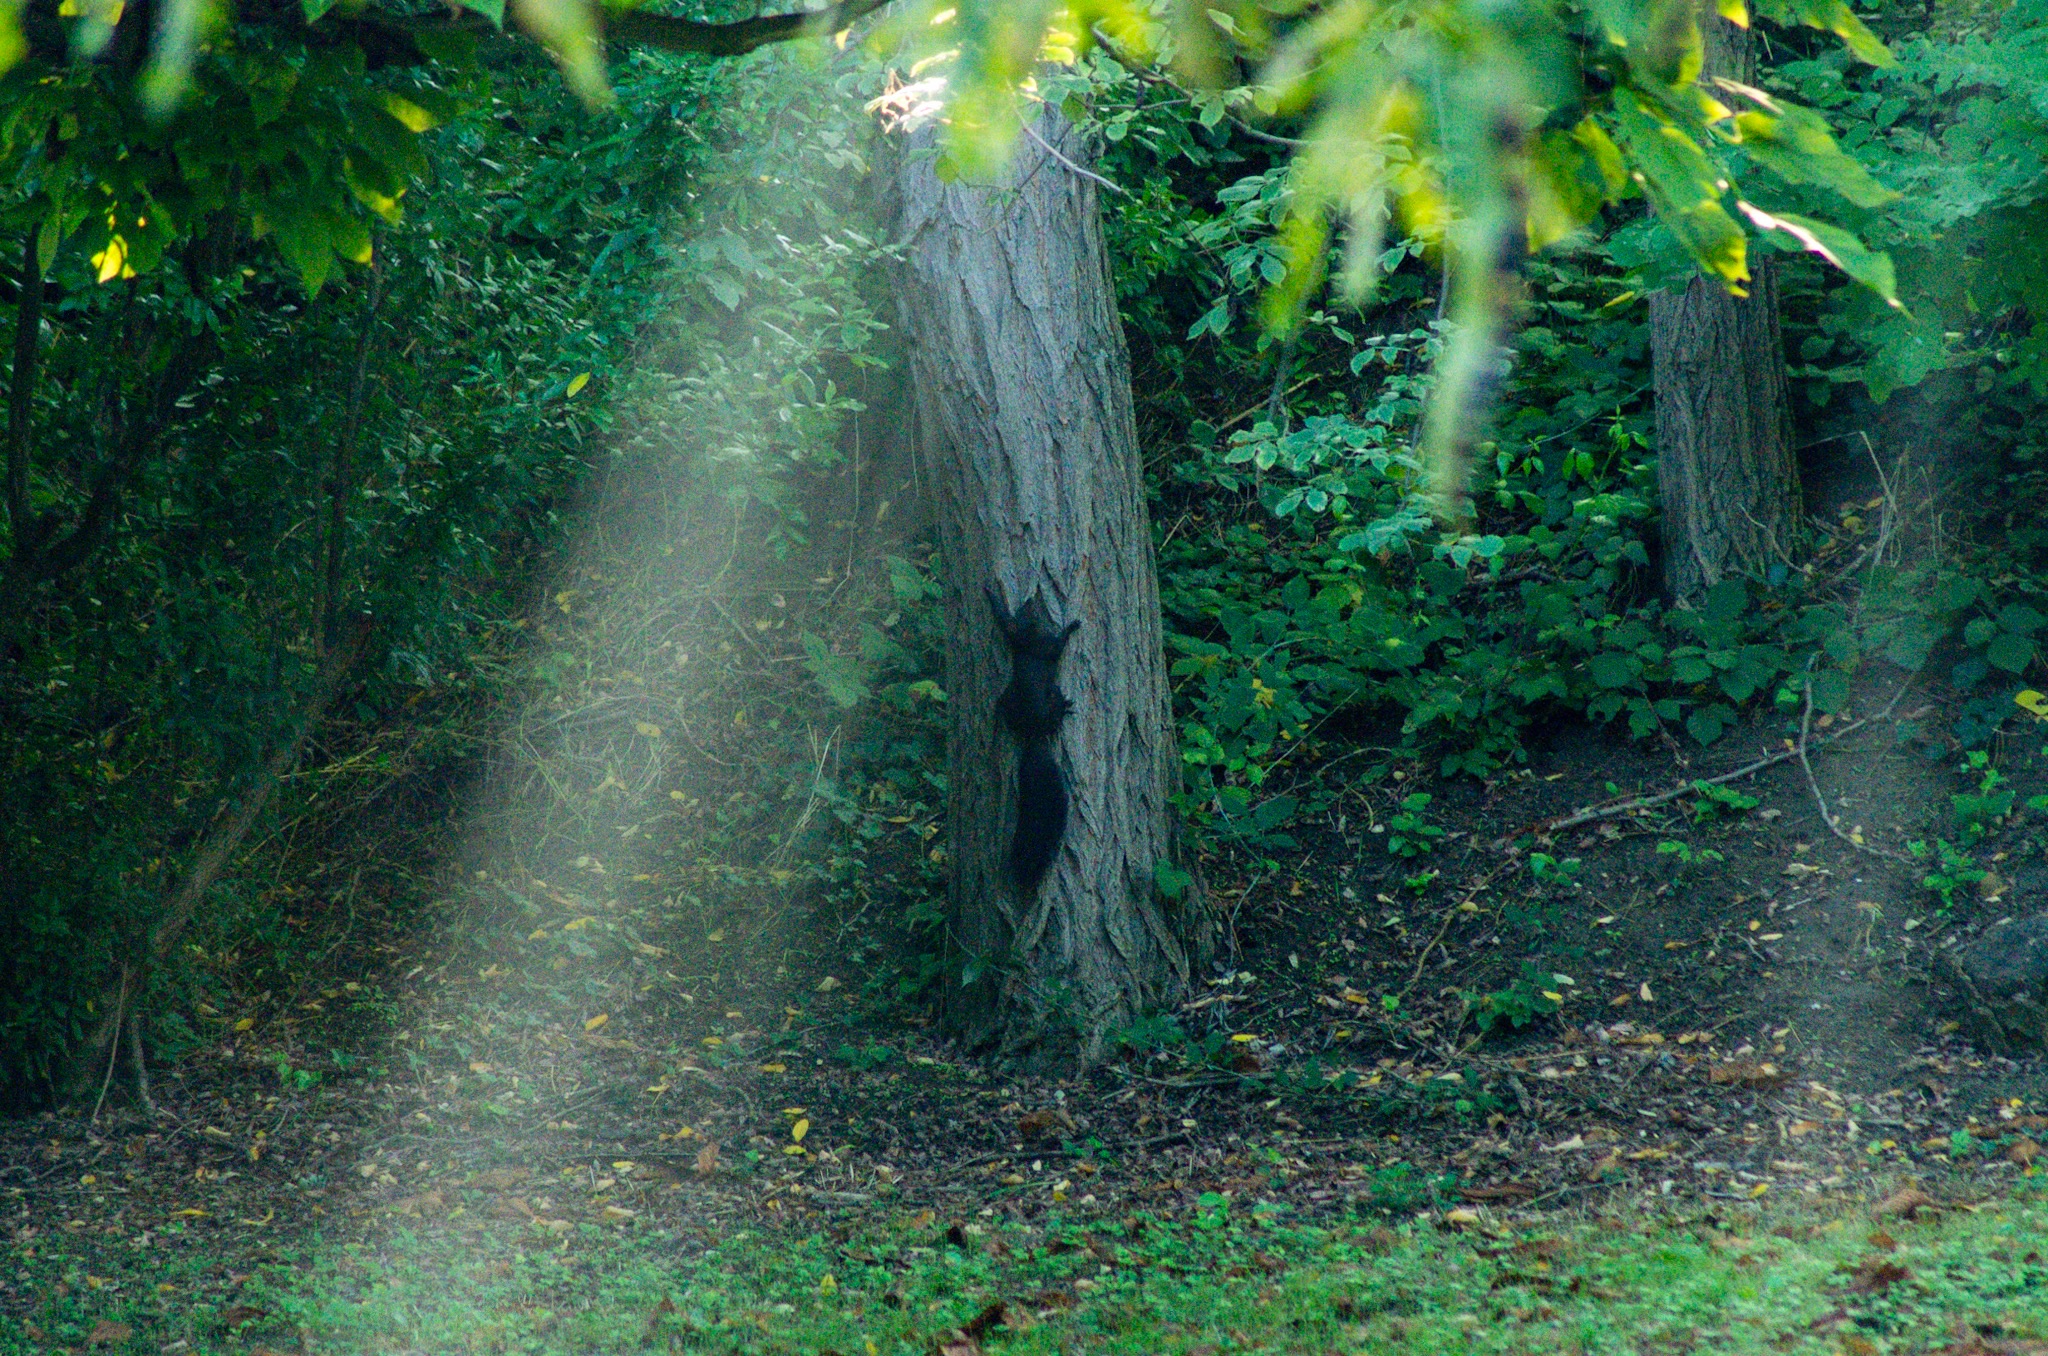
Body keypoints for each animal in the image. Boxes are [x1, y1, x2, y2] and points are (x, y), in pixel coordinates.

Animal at [986, 586, 1079, 891]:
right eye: (1031, 609)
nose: (1031, 598)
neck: (1030, 639)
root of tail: (1033, 731)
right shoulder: (1044, 645)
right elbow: (1058, 645)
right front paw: (1071, 627)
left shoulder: (1017, 635)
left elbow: (1005, 623)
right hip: (1050, 702)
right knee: (1054, 713)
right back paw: (1063, 708)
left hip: (1012, 702)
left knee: (1006, 709)